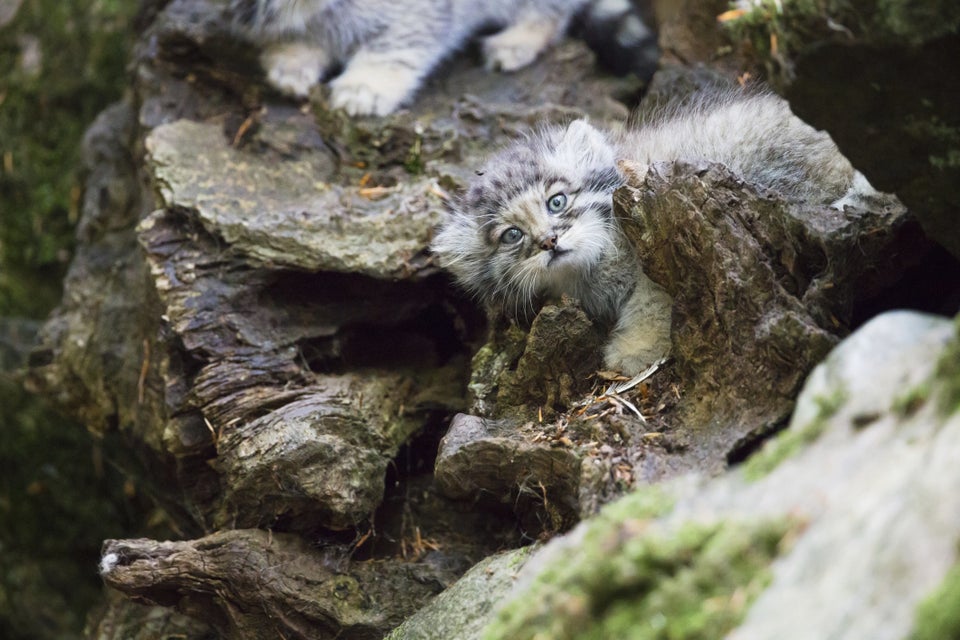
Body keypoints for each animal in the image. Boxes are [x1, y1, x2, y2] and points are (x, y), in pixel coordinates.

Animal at [432, 85, 880, 376]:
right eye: (512, 235)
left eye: (556, 202)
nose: (549, 241)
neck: (594, 266)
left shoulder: (660, 254)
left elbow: (653, 302)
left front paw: (637, 348)